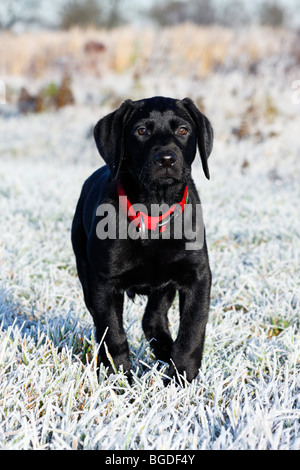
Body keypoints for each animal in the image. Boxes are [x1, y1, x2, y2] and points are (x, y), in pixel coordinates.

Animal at [72, 95, 213, 382]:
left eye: (183, 130)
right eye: (141, 131)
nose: (167, 158)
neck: (154, 209)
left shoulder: (198, 276)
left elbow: (192, 332)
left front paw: (181, 377)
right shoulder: (103, 283)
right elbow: (112, 335)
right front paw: (120, 380)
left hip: (164, 286)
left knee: (153, 319)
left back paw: (165, 350)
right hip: (86, 275)